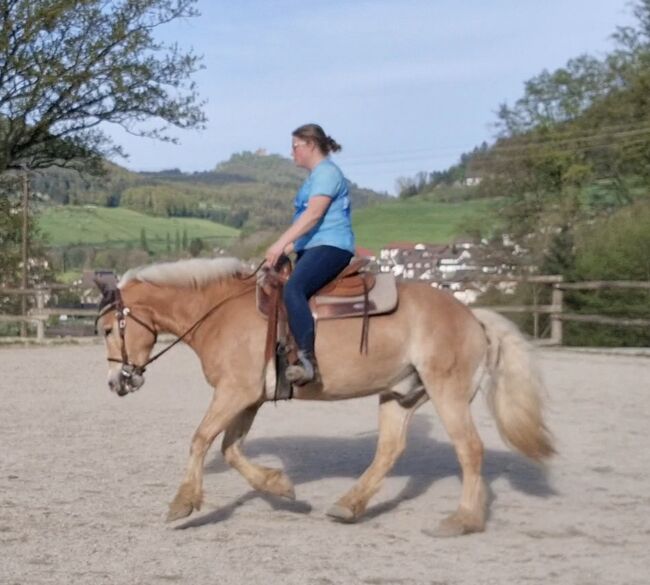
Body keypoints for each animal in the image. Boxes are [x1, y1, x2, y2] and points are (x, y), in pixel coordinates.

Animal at [95, 256, 552, 532]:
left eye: (108, 328)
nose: (117, 382)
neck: (220, 312)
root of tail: (472, 316)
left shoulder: (235, 392)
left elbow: (201, 439)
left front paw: (183, 503)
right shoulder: (248, 398)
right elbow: (230, 448)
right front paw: (280, 487)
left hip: (447, 392)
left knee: (469, 449)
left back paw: (465, 519)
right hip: (400, 394)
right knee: (390, 450)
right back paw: (349, 504)